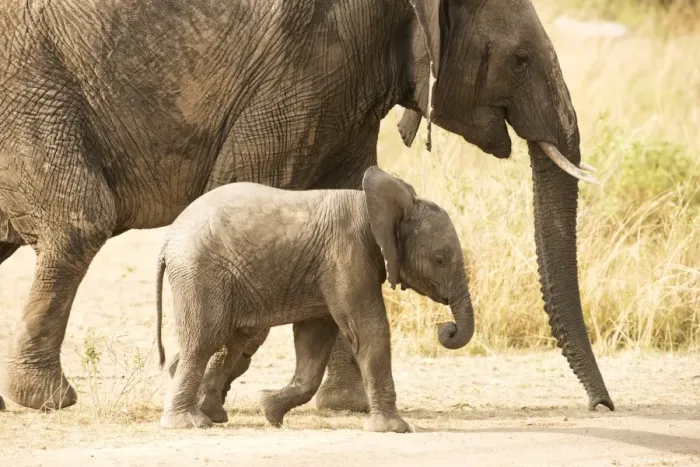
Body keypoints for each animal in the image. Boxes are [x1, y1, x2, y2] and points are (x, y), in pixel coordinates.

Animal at [154, 166, 475, 430]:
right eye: (440, 259)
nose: (447, 329)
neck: (372, 206)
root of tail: (168, 239)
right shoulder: (346, 255)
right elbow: (370, 330)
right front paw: (392, 429)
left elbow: (315, 340)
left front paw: (270, 411)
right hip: (200, 271)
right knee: (204, 340)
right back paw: (188, 423)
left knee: (232, 340)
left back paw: (213, 415)